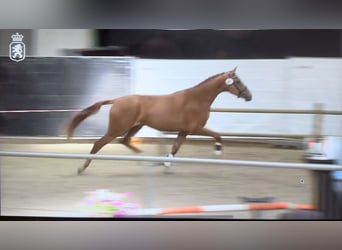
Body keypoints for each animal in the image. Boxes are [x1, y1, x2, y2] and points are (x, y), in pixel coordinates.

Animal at [67, 67, 251, 175]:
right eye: (237, 81)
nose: (249, 96)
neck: (196, 100)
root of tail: (117, 100)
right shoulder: (195, 128)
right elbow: (218, 136)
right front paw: (217, 152)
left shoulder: (184, 131)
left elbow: (175, 148)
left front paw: (166, 164)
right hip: (117, 128)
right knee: (99, 143)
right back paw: (82, 168)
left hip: (135, 127)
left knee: (125, 141)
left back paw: (143, 159)